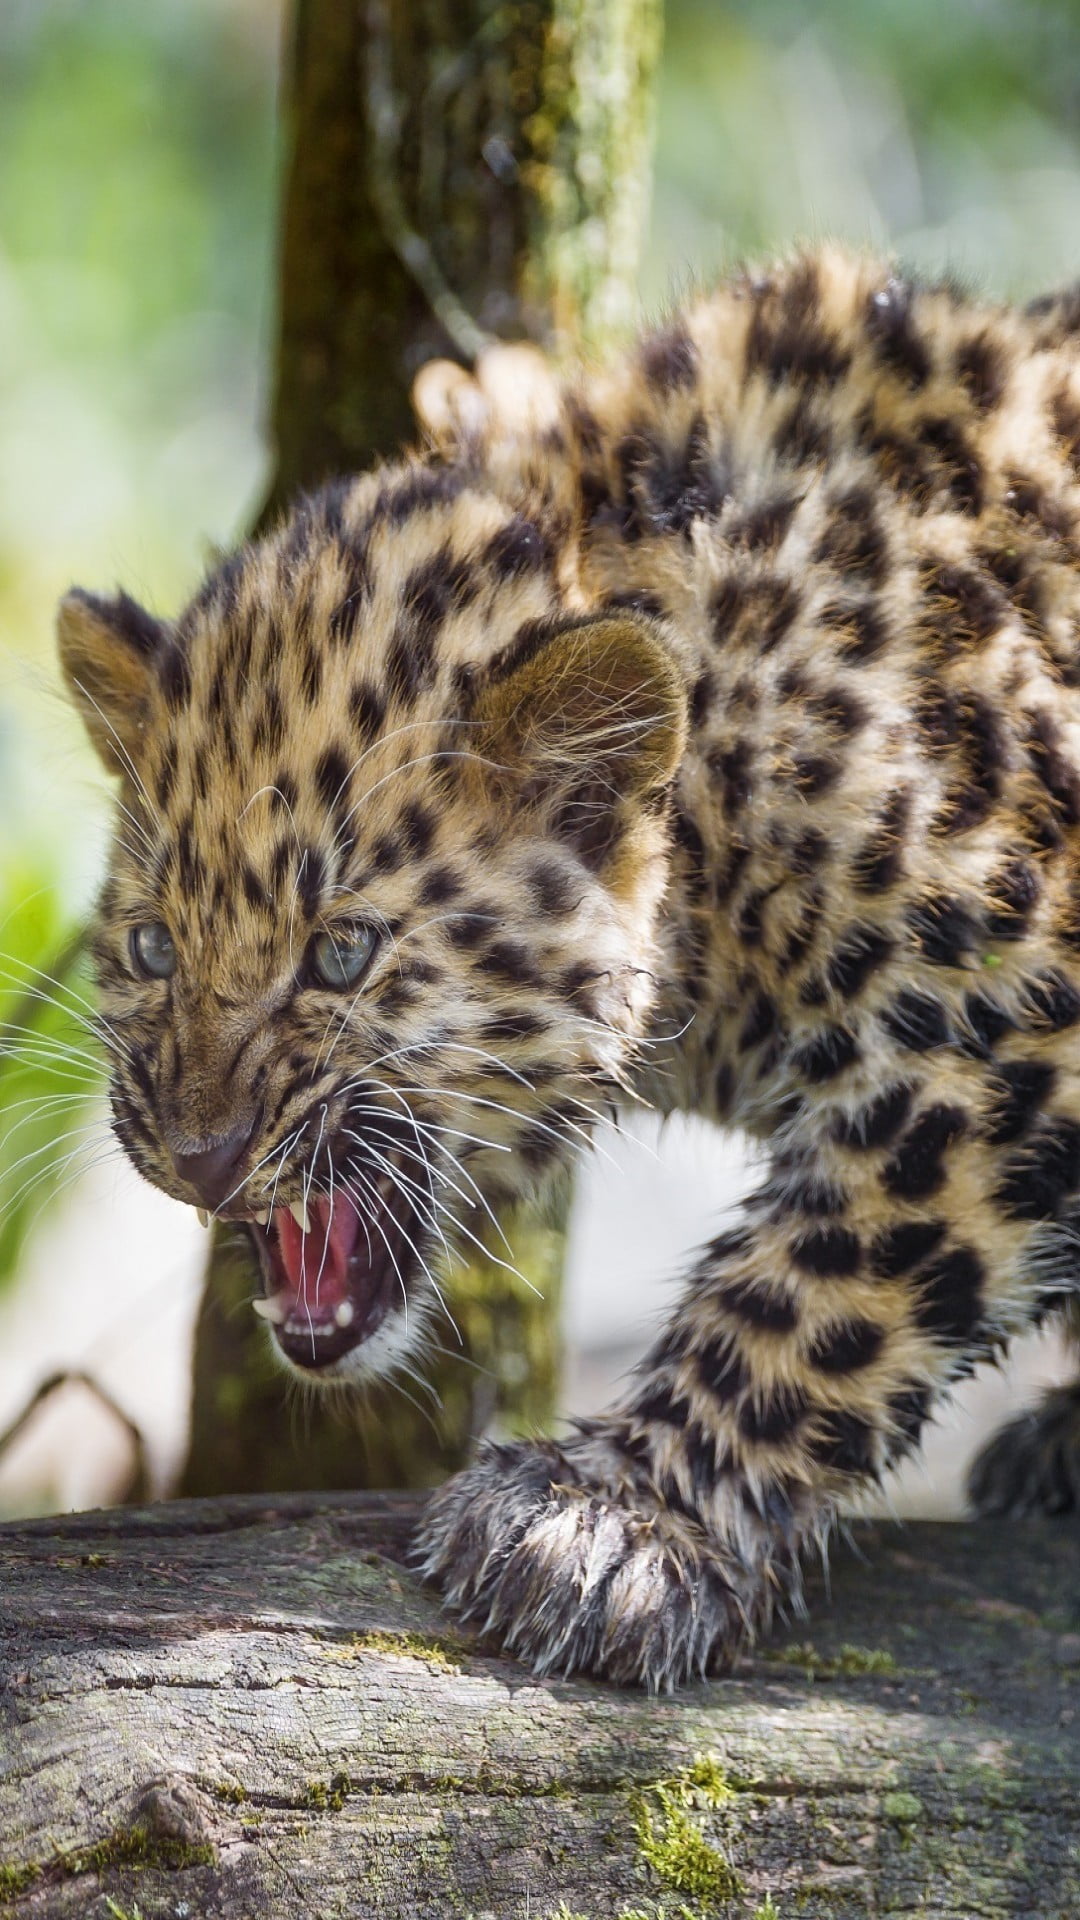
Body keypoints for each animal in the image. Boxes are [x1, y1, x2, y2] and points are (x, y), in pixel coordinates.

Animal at [57, 244, 1080, 1691]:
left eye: (343, 951)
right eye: (152, 945)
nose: (194, 1159)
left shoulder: (1010, 1024)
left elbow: (823, 1287)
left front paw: (610, 1520)